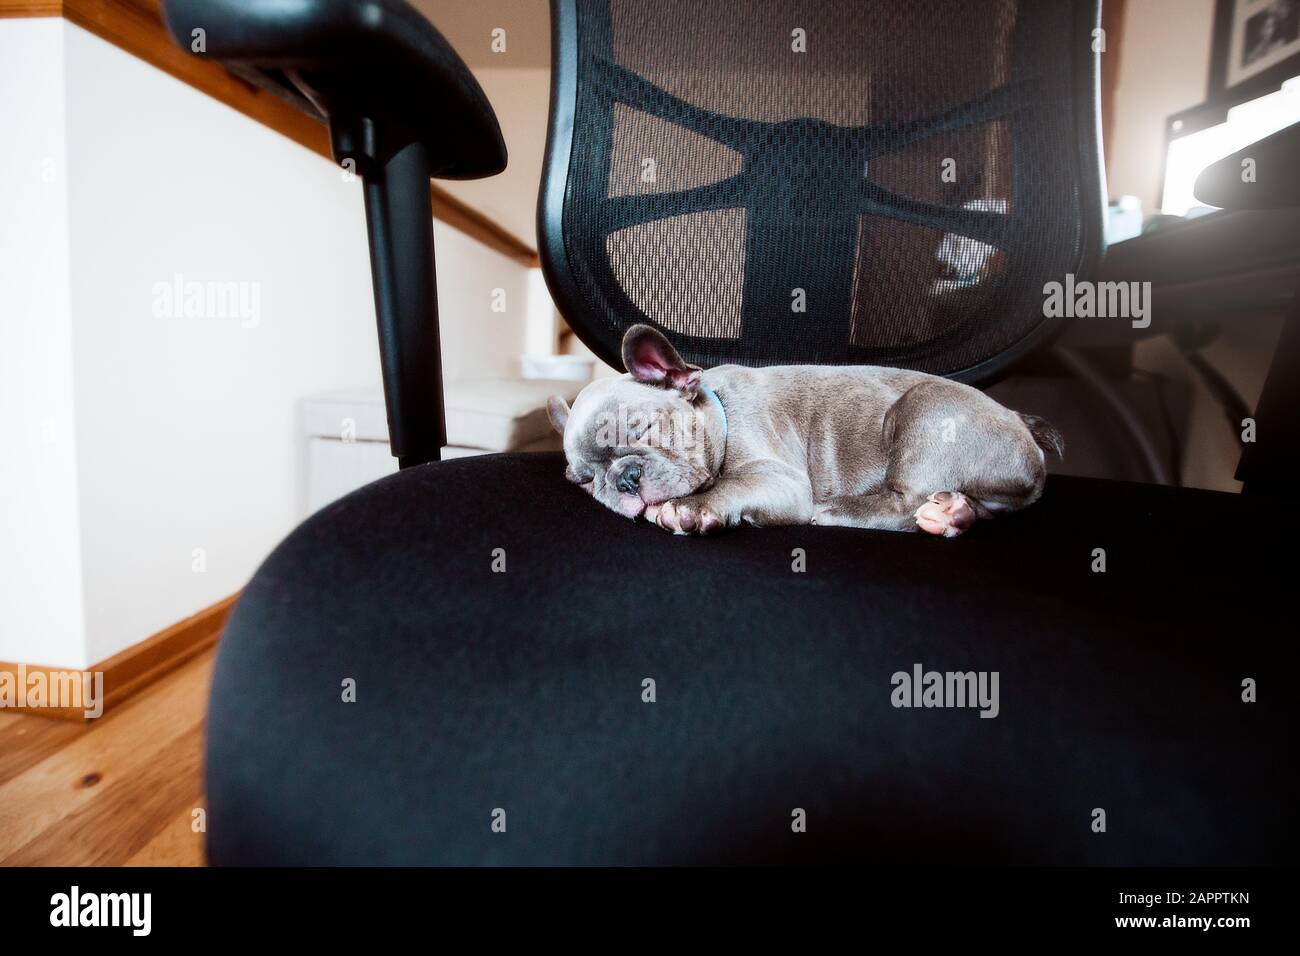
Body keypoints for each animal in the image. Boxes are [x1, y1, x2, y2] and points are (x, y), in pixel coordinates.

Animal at [543, 325, 1060, 538]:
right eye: (585, 481)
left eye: (646, 428)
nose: (624, 479)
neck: (717, 409)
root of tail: (1021, 423)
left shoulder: (780, 480)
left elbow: (730, 488)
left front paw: (691, 510)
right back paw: (953, 513)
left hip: (925, 410)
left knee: (906, 500)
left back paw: (839, 512)